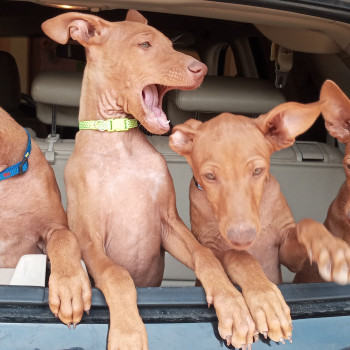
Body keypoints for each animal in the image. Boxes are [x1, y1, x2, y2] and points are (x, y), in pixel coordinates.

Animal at [41, 10, 260, 350]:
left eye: (170, 45)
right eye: (144, 45)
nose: (201, 69)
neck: (119, 142)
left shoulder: (169, 222)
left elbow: (206, 255)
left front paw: (232, 305)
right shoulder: (89, 240)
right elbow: (118, 275)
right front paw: (129, 333)